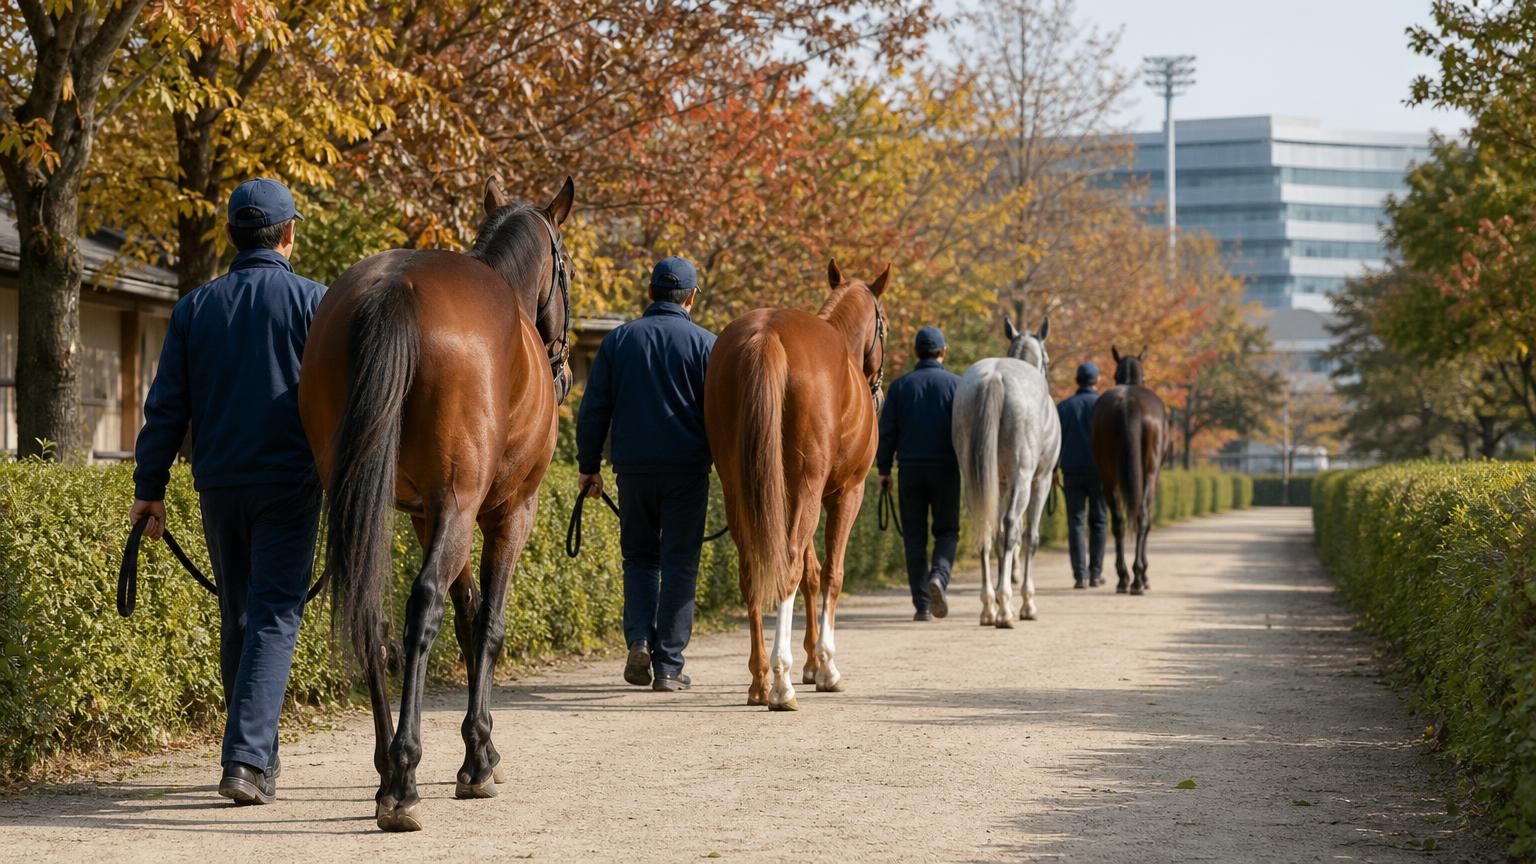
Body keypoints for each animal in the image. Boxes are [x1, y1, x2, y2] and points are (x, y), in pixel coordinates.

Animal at [297, 177, 575, 832]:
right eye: (568, 268)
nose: (564, 367)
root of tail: (394, 286)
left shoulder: (429, 516)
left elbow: (469, 615)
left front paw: (482, 751)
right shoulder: (504, 512)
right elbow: (489, 621)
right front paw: (478, 760)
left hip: (376, 503)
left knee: (372, 616)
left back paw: (384, 770)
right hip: (462, 506)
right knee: (422, 606)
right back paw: (403, 778)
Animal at [704, 259, 889, 711]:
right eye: (885, 326)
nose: (878, 384)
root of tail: (767, 333)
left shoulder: (789, 491)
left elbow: (812, 572)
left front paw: (810, 662)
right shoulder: (844, 493)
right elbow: (831, 573)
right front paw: (825, 666)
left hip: (741, 486)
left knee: (754, 568)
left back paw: (759, 680)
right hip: (806, 485)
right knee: (785, 565)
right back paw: (781, 682)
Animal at [952, 316, 1062, 628]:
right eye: (1046, 358)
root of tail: (994, 378)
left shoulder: (998, 484)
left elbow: (999, 536)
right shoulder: (1040, 481)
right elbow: (1029, 536)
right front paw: (1026, 603)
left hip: (974, 480)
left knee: (986, 530)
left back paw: (990, 608)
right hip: (1023, 479)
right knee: (1014, 527)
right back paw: (1004, 611)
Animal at [1089, 346, 1168, 595]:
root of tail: (1129, 405)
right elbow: (1147, 519)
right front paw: (1144, 575)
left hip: (1108, 475)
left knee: (1118, 521)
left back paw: (1124, 578)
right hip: (1149, 472)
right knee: (1142, 516)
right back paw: (1137, 578)